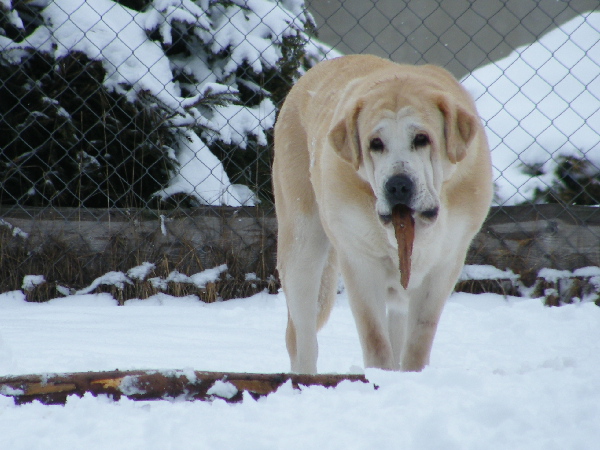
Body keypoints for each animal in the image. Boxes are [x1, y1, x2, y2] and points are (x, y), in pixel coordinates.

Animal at [274, 54, 492, 372]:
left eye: (422, 139)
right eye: (375, 144)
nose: (398, 185)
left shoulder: (445, 264)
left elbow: (419, 339)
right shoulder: (360, 262)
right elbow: (375, 337)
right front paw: (379, 375)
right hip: (302, 245)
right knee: (302, 335)